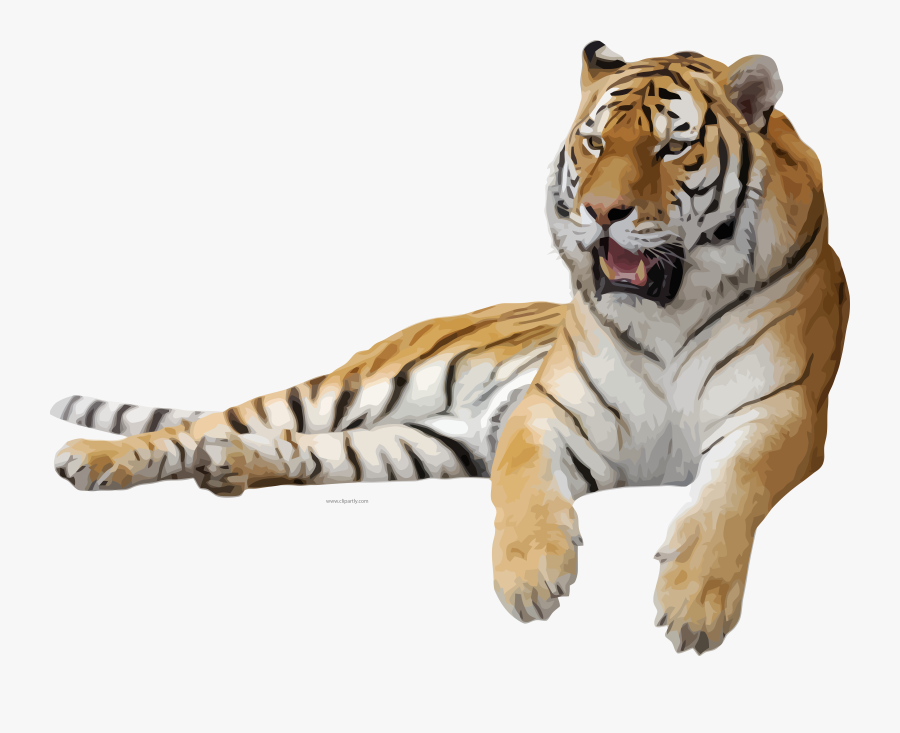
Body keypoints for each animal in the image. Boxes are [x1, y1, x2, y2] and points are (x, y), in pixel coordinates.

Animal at [51, 42, 849, 655]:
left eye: (673, 145)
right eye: (595, 141)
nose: (600, 212)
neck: (669, 312)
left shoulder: (779, 417)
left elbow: (726, 497)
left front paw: (693, 602)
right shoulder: (543, 414)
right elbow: (523, 489)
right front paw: (530, 576)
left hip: (424, 440)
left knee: (301, 450)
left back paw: (229, 467)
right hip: (355, 387)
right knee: (210, 422)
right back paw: (92, 459)